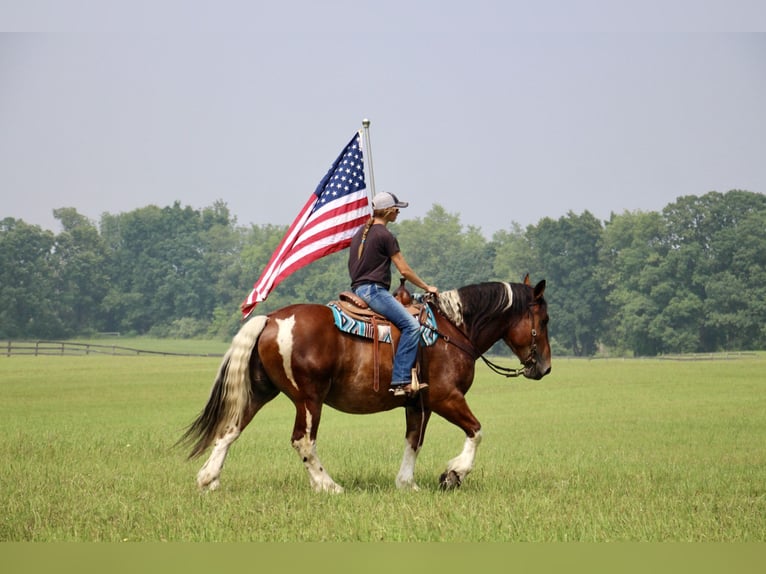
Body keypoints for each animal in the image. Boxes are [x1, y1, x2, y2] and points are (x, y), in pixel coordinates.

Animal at [180, 276, 552, 492]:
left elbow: (414, 441)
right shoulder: (445, 397)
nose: (545, 367)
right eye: (545, 319)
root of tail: (271, 319)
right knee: (303, 441)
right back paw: (328, 485)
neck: (452, 330)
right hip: (308, 399)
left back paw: (208, 479)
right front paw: (453, 474)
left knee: (230, 430)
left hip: (260, 391)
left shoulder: (418, 404)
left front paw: (407, 484)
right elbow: (476, 431)